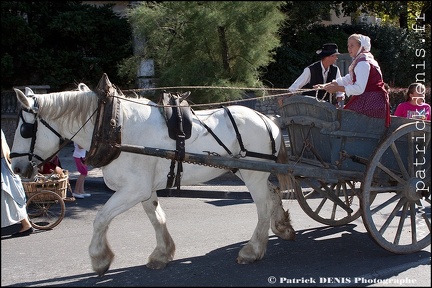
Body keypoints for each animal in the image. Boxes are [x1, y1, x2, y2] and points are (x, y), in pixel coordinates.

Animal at [10, 81, 296, 276]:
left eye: (24, 129)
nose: (15, 167)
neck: (116, 128)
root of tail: (268, 118)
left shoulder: (133, 189)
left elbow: (101, 219)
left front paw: (100, 258)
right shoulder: (144, 189)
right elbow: (157, 218)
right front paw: (162, 253)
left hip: (253, 173)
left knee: (262, 207)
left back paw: (252, 250)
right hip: (250, 172)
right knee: (273, 194)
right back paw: (282, 227)